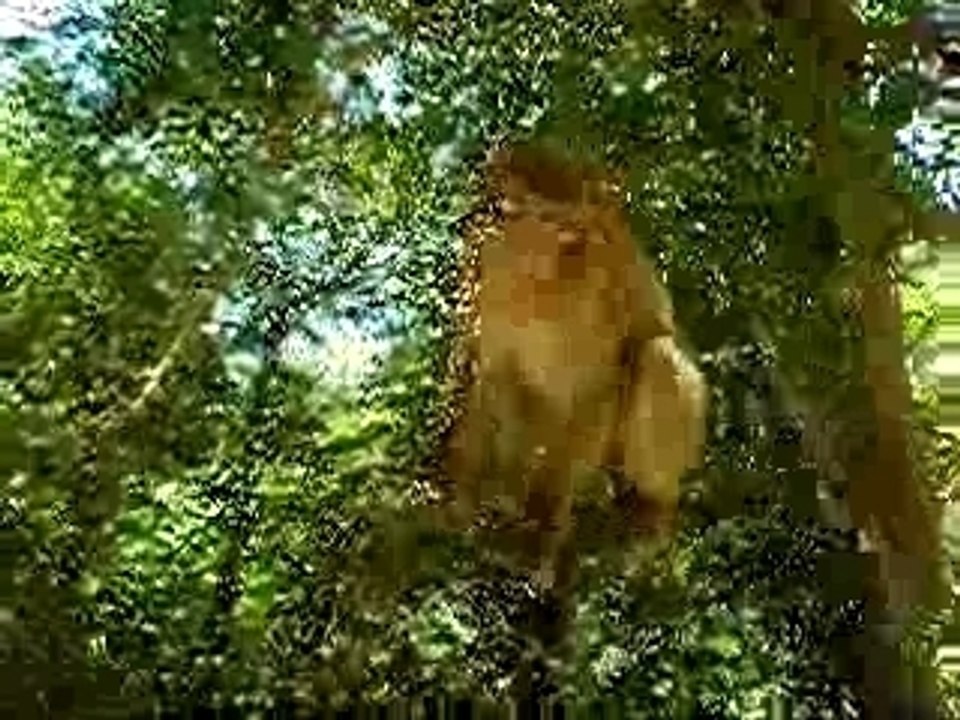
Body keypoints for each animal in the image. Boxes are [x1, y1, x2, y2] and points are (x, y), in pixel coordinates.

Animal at [443, 143, 708, 588]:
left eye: (573, 220)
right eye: (499, 199)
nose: (584, 234)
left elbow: (599, 381)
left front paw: (543, 531)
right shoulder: (490, 287)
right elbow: (489, 374)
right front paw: (458, 496)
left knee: (652, 353)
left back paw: (646, 511)